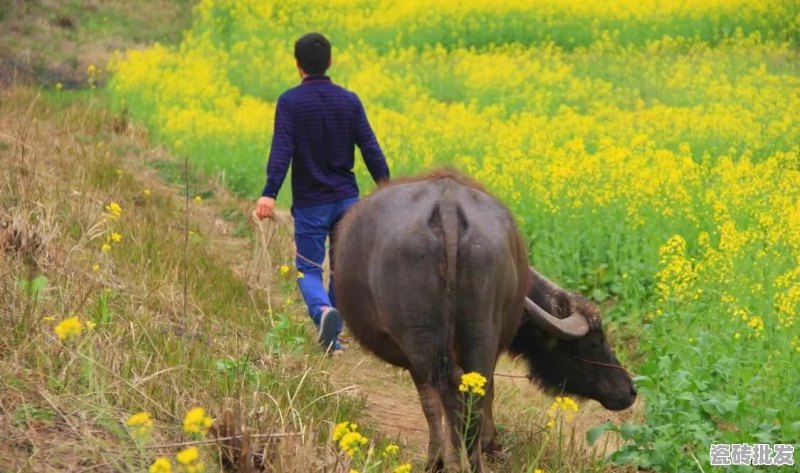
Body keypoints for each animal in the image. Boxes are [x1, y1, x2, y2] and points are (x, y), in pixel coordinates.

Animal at [334, 171, 636, 472]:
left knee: (459, 394)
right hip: (472, 334)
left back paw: (459, 461)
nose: (630, 391)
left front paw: (442, 457)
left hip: (437, 338)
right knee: (467, 396)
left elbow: (437, 402)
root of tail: (447, 206)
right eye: (594, 342)